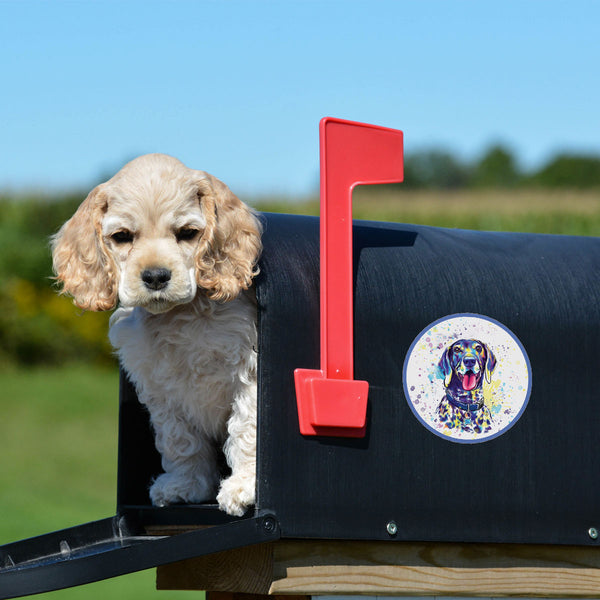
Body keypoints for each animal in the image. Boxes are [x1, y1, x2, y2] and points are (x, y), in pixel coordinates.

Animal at [53, 154, 262, 516]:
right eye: (122, 236)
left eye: (187, 233)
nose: (154, 276)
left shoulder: (248, 372)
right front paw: (185, 486)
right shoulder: (161, 389)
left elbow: (246, 428)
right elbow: (180, 440)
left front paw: (244, 487)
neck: (178, 316)